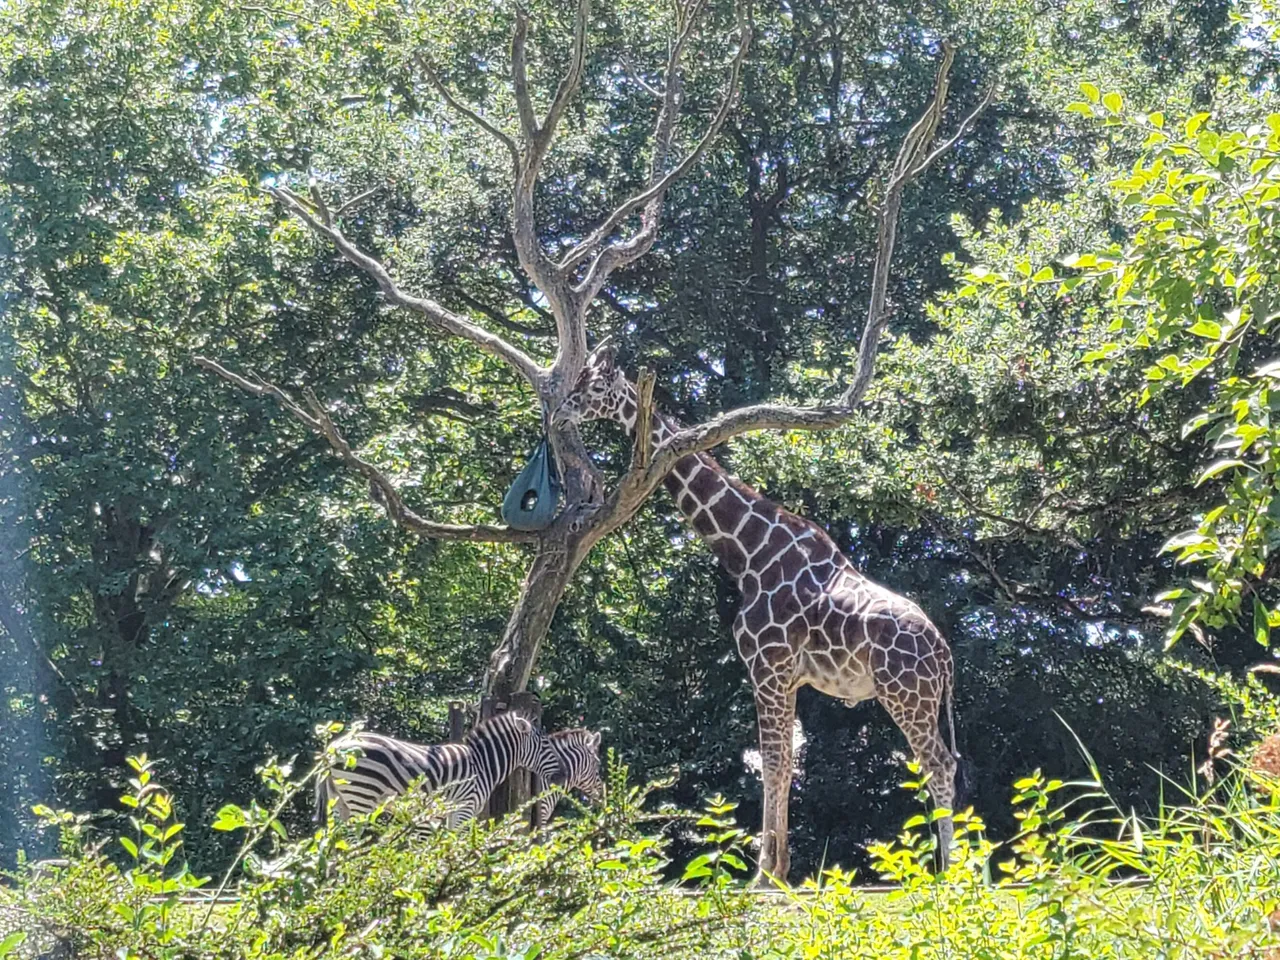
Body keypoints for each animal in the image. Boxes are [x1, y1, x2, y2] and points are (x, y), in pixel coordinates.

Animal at [552, 350, 962, 885]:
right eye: (578, 380)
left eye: (595, 386)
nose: (559, 413)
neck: (748, 554)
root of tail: (945, 655)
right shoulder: (786, 678)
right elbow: (784, 762)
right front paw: (778, 870)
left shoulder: (767, 667)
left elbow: (772, 762)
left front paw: (763, 873)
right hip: (922, 699)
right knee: (946, 762)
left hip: (905, 694)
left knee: (937, 764)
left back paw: (952, 871)